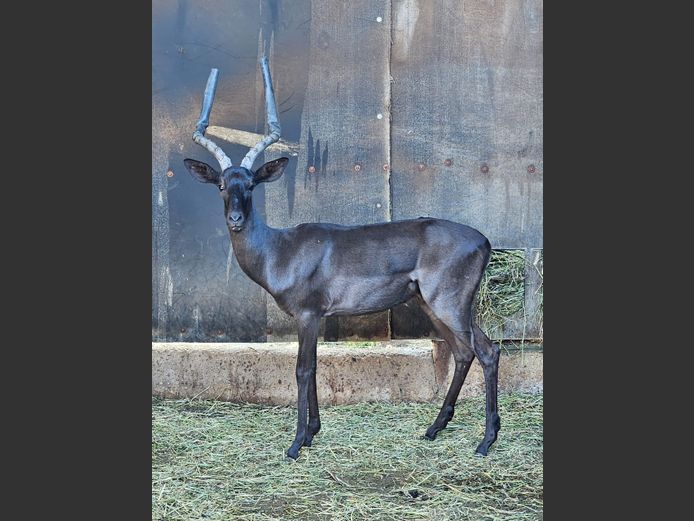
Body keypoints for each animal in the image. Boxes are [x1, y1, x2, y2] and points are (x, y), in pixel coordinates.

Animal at [184, 56, 501, 460]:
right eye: (222, 185)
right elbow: (315, 367)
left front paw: (295, 444)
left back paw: (485, 441)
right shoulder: (318, 318)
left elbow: (302, 370)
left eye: (251, 184)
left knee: (488, 351)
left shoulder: (307, 314)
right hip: (435, 306)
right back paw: (433, 429)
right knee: (464, 353)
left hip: (449, 304)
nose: (236, 219)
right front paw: (312, 433)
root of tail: (484, 240)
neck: (278, 250)